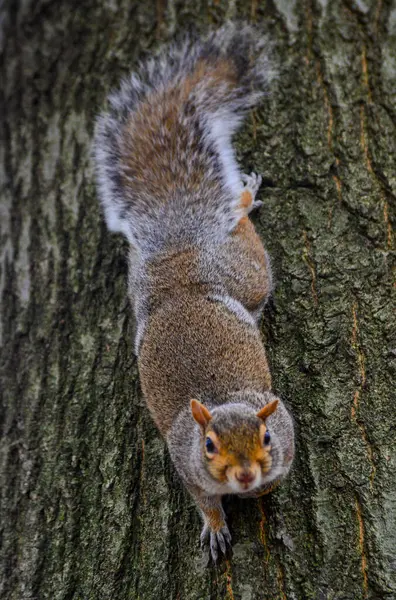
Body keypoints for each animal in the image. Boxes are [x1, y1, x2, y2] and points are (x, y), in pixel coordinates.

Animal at [94, 23, 296, 564]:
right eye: (208, 445)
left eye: (265, 435)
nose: (244, 474)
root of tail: (183, 259)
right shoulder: (183, 459)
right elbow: (202, 498)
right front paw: (216, 525)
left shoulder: (287, 437)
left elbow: (279, 476)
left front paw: (261, 490)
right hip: (156, 282)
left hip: (246, 274)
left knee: (242, 229)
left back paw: (244, 195)